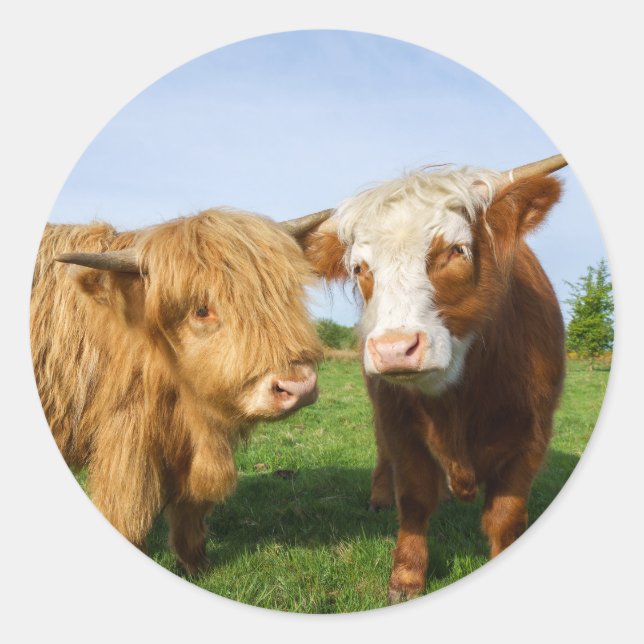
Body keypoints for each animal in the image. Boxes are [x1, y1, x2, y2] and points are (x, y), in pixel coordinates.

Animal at [30, 206, 331, 574]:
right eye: (201, 309)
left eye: (283, 293)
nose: (298, 386)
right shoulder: (127, 436)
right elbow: (127, 511)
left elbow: (190, 507)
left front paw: (196, 564)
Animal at [301, 155, 568, 601]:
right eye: (359, 268)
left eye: (456, 250)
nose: (395, 348)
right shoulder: (400, 425)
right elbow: (414, 500)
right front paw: (406, 578)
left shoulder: (532, 437)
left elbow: (506, 516)